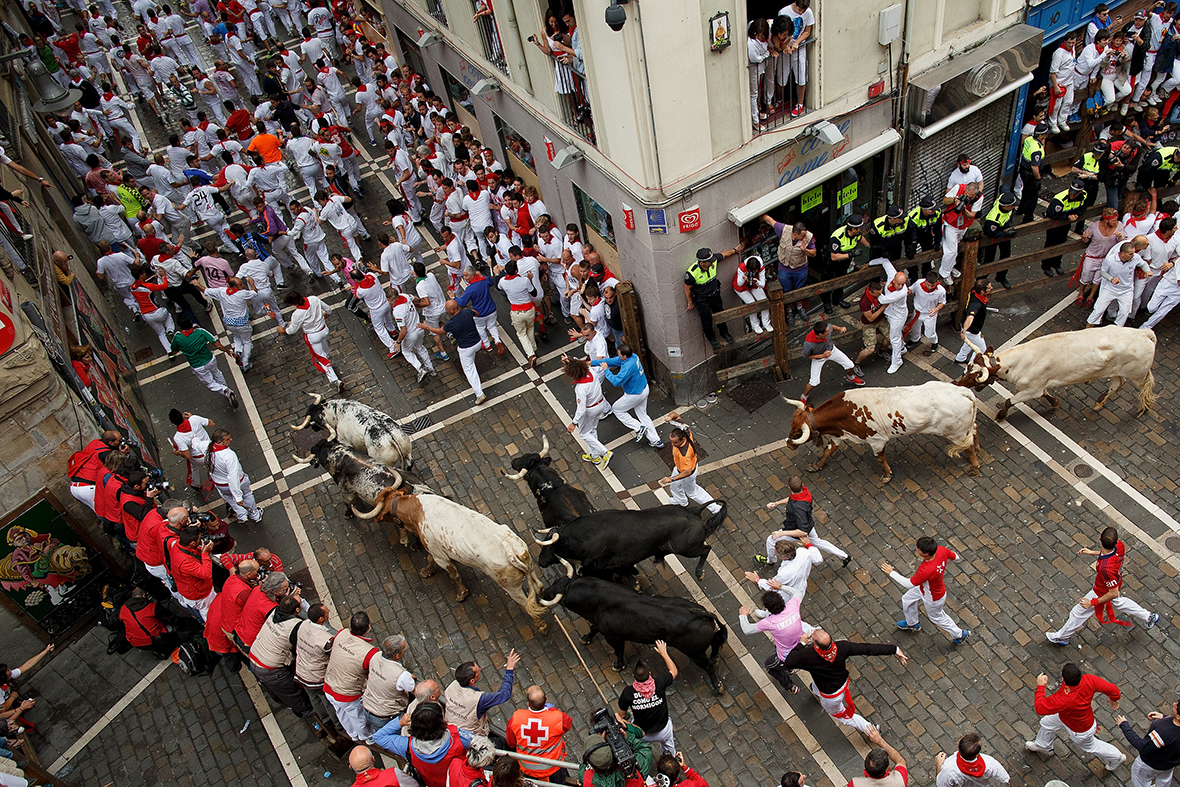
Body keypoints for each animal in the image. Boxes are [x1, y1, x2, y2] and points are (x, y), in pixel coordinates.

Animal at [351, 488, 549, 632]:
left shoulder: (441, 556)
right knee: (538, 587)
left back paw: (541, 626)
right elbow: (429, 559)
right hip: (530, 568)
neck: (417, 510)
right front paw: (426, 572)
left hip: (510, 586)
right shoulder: (434, 549)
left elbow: (453, 574)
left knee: (525, 604)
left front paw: (462, 593)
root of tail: (511, 550)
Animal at [542, 575, 726, 693]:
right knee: (717, 641)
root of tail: (703, 614)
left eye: (560, 593)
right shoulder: (600, 625)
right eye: (556, 581)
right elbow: (593, 629)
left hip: (694, 652)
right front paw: (585, 638)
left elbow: (618, 651)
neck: (599, 599)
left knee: (708, 665)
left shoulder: (613, 637)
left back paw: (717, 687)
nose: (544, 592)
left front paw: (618, 665)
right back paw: (716, 658)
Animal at [783, 382, 977, 486]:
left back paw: (975, 467)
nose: (788, 444)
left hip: (956, 433)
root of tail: (963, 391)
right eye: (791, 424)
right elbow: (828, 451)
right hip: (965, 428)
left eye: (798, 431)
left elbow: (880, 458)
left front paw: (887, 475)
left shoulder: (877, 440)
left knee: (969, 447)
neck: (846, 411)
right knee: (974, 434)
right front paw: (816, 466)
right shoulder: (837, 436)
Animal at [953, 325, 1156, 422]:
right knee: (1117, 384)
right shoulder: (1037, 386)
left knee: (1143, 385)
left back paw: (1142, 405)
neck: (1018, 363)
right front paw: (1055, 402)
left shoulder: (1031, 389)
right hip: (1116, 372)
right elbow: (1046, 394)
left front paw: (1001, 416)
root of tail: (1144, 333)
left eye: (974, 377)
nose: (957, 384)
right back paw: (1099, 402)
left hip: (1138, 374)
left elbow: (1009, 400)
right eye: (969, 367)